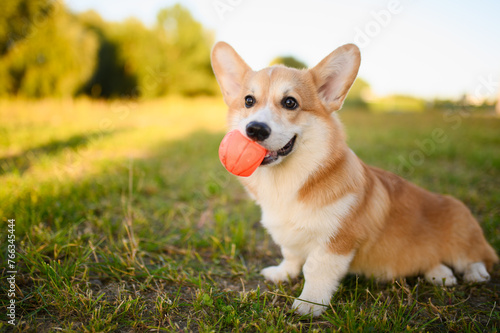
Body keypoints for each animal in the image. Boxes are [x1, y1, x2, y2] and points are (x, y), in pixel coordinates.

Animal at [210, 42, 496, 316]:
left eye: (290, 102)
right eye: (249, 101)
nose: (255, 130)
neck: (288, 181)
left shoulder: (337, 241)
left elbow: (314, 269)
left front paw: (309, 305)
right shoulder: (288, 237)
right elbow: (290, 255)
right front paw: (282, 274)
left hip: (462, 236)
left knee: (481, 257)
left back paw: (474, 273)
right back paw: (441, 274)